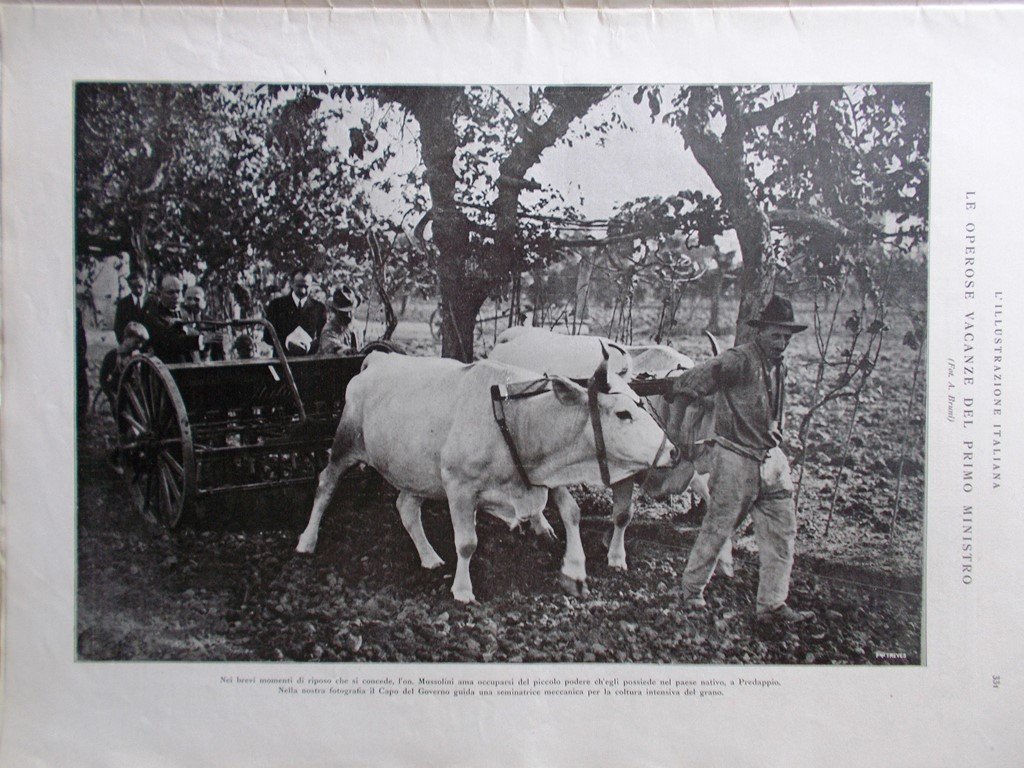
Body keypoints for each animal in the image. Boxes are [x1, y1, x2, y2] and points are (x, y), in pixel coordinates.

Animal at [296, 351, 678, 603]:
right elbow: (467, 542)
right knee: (325, 484)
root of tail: (377, 359)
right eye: (624, 414)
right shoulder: (460, 485)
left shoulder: (543, 478)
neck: (519, 417)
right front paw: (463, 590)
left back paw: (429, 557)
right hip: (346, 442)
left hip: (418, 470)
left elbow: (572, 514)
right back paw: (307, 541)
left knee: (406, 506)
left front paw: (574, 569)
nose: (672, 451)